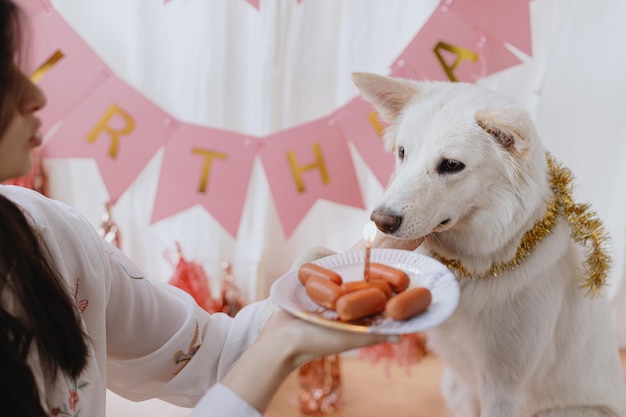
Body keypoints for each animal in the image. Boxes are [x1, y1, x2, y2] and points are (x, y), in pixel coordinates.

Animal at [322, 74, 624, 416]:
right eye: (402, 152)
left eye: (451, 165)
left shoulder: (503, 387)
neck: (479, 262)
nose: (380, 221)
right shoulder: (469, 389)